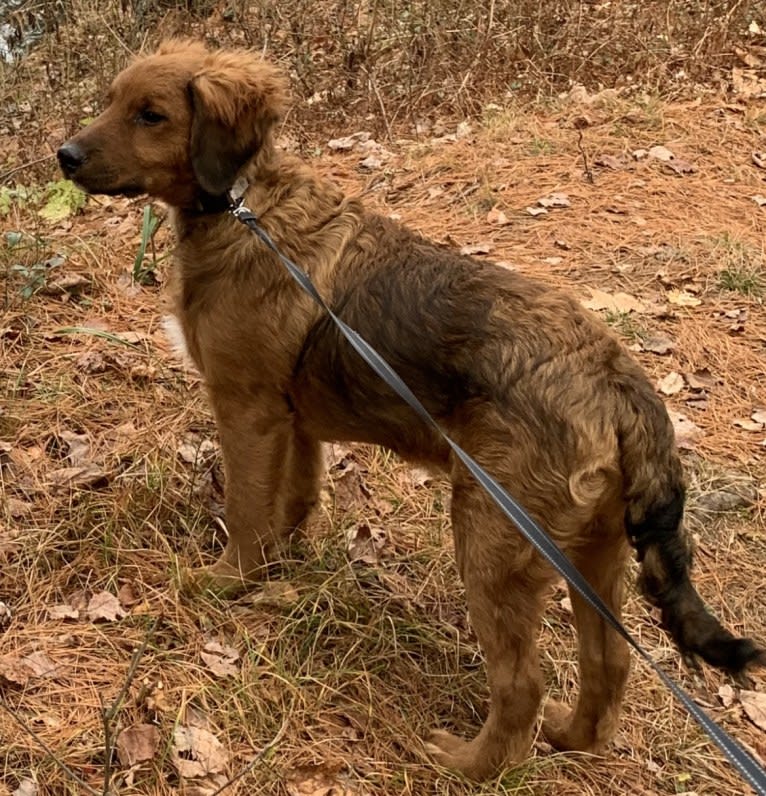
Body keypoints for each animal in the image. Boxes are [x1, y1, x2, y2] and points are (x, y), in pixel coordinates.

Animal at [57, 40, 764, 780]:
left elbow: (248, 511)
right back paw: (569, 738)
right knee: (609, 663)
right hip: (591, 552)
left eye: (151, 115)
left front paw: (225, 583)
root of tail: (617, 379)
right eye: (111, 102)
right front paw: (278, 571)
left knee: (523, 684)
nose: (64, 155)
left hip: (490, 537)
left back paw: (468, 764)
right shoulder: (293, 421)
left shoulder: (246, 410)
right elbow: (294, 501)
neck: (242, 206)